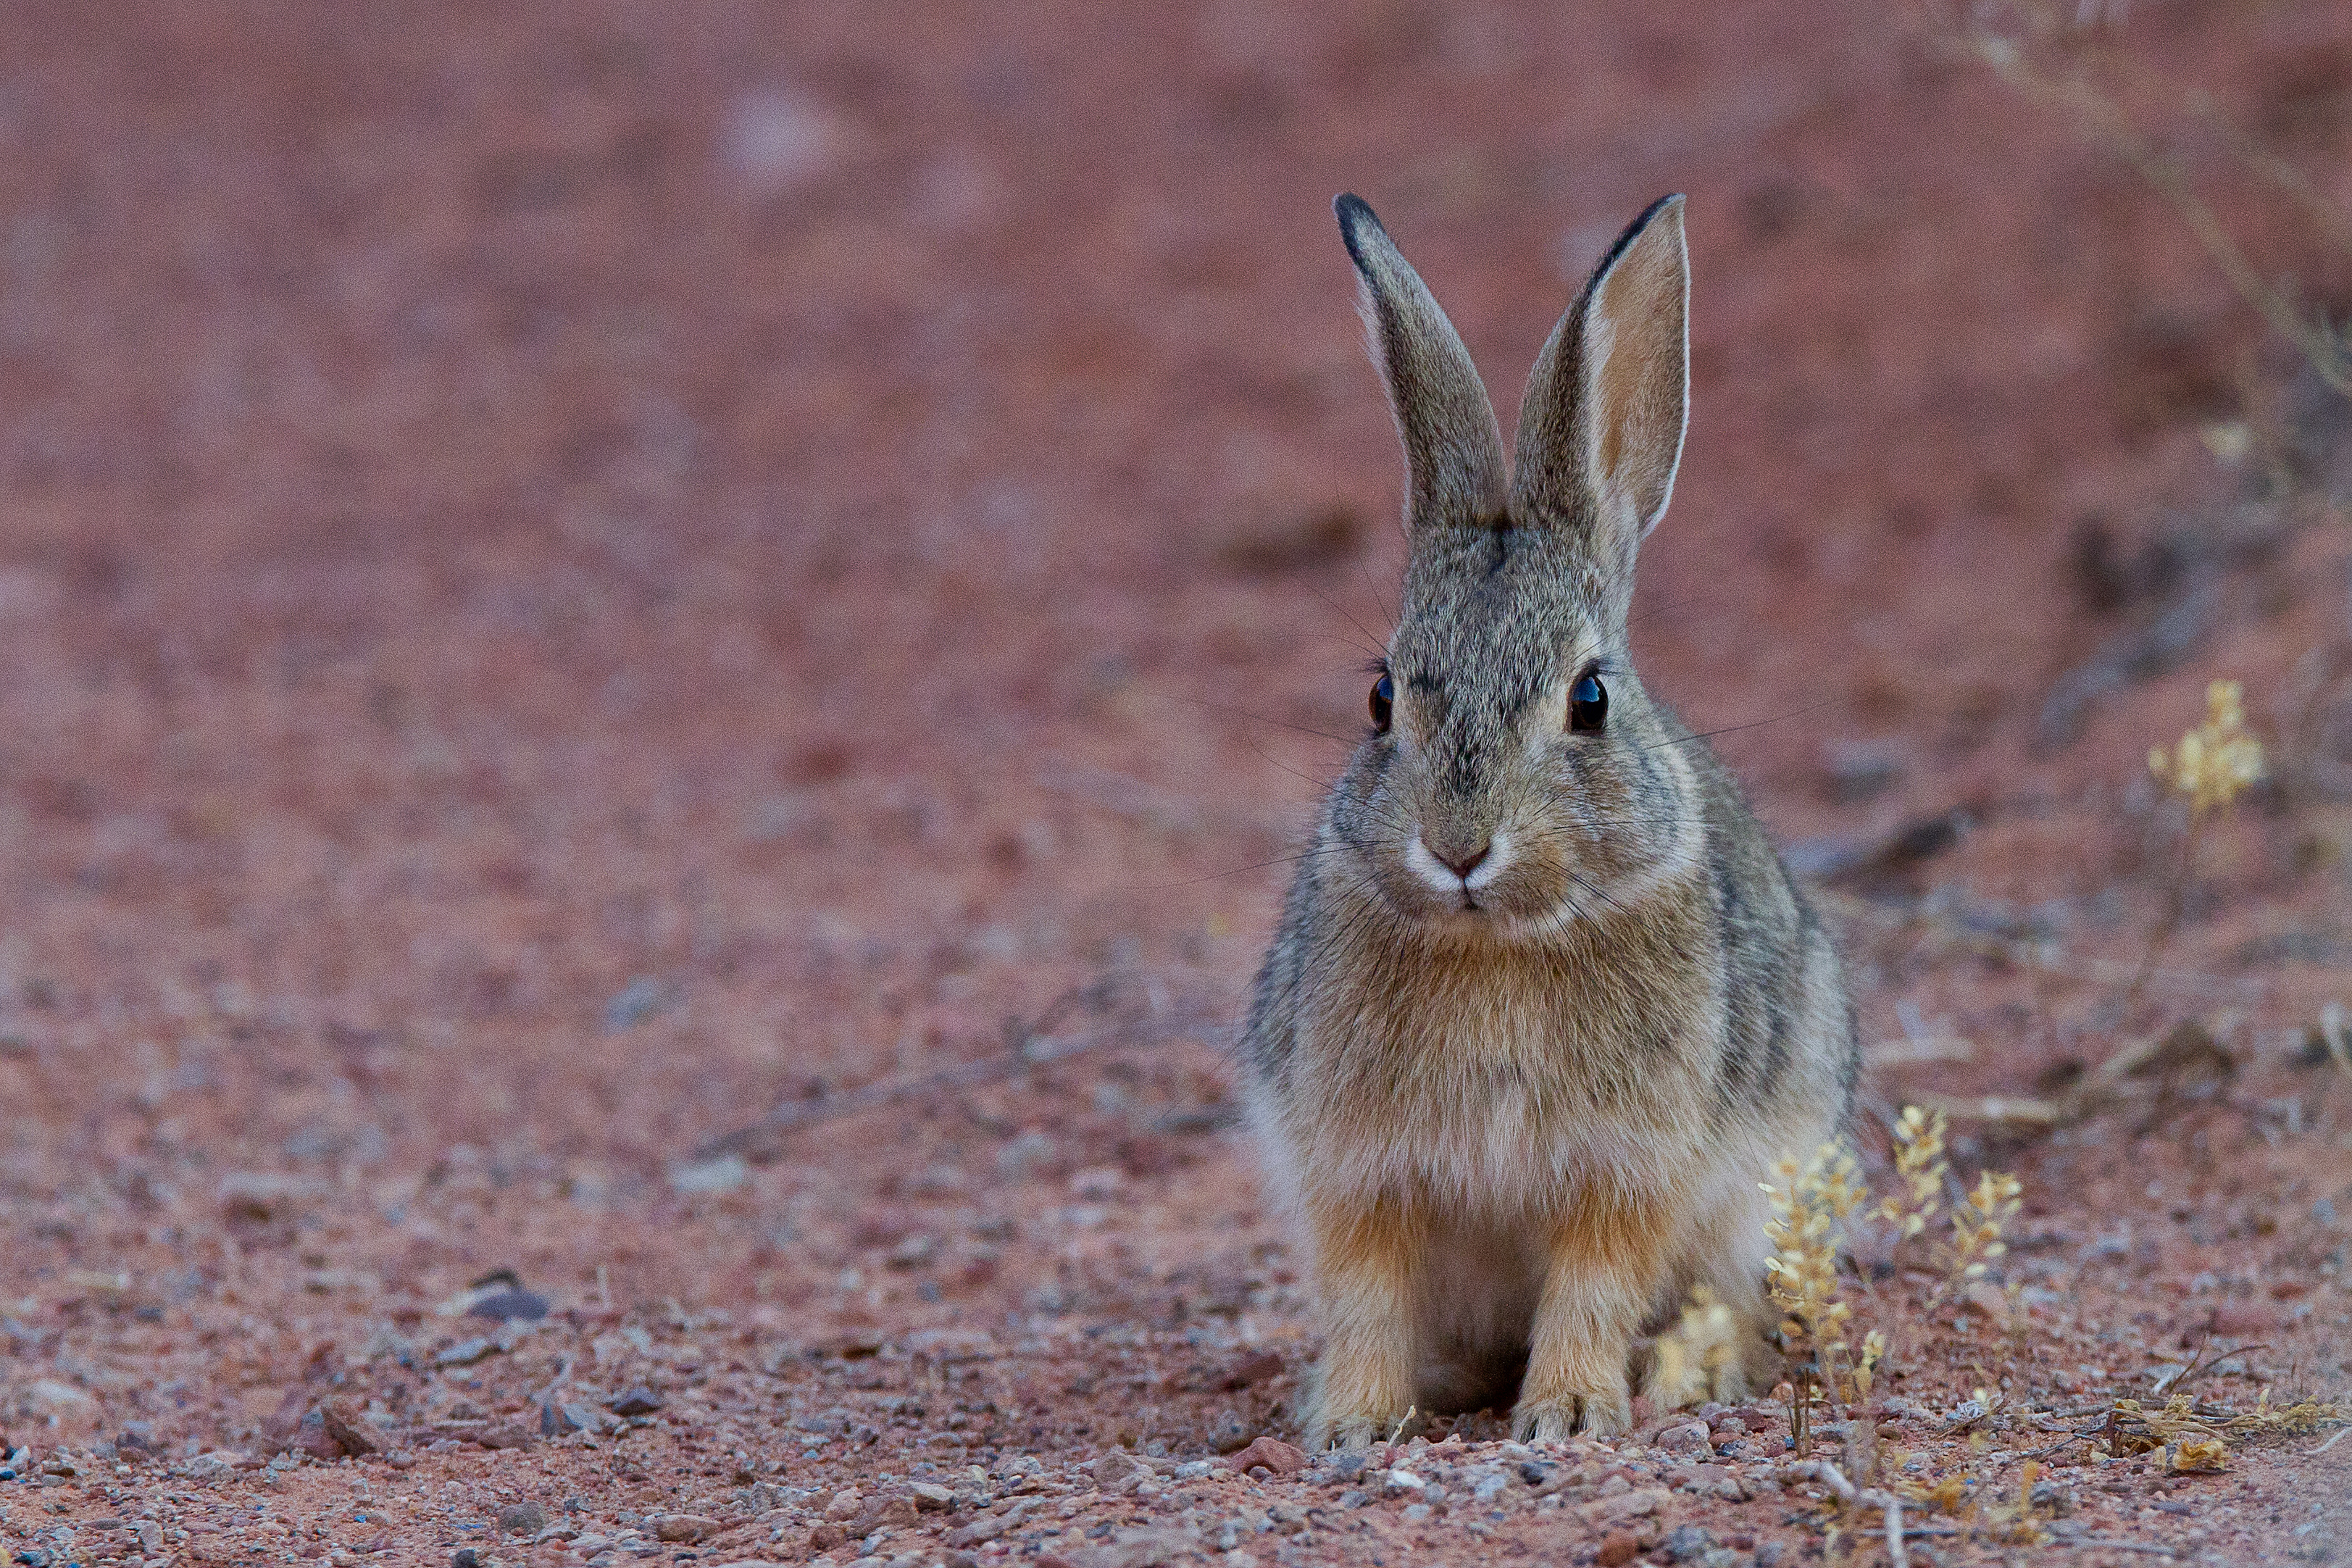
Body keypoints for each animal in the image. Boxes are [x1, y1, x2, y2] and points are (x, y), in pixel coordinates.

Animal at [1241, 193, 1862, 1448]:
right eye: (1380, 699)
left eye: (1589, 701)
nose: (1457, 847)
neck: (1498, 943)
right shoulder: (1355, 1168)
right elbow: (1367, 1292)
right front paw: (1353, 1423)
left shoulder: (1628, 1167)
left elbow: (1594, 1282)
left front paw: (1570, 1412)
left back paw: (1689, 1377)